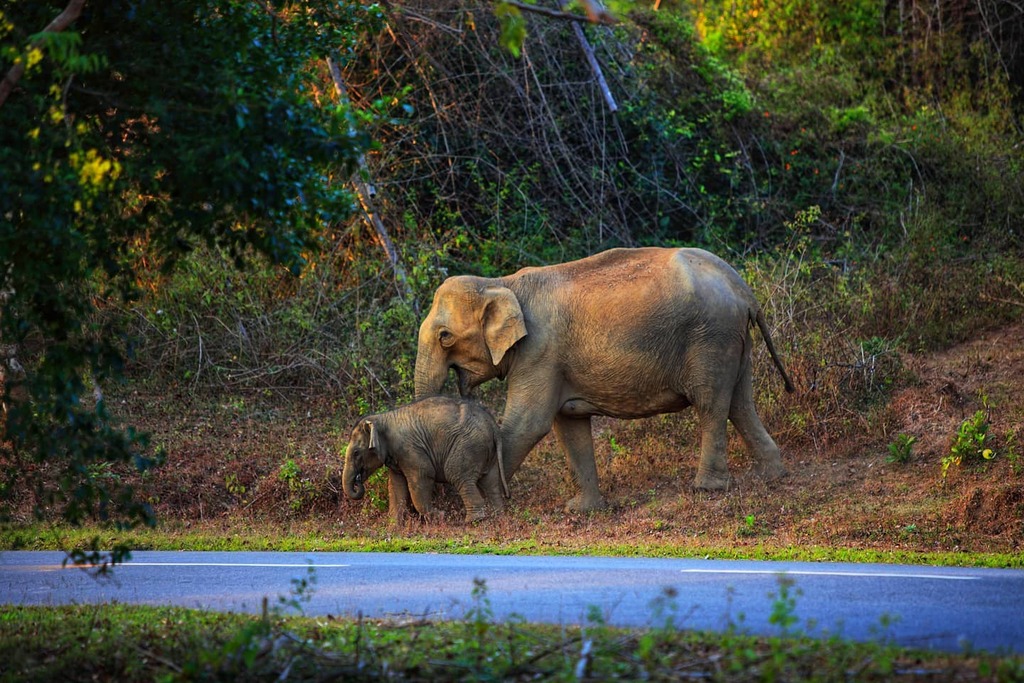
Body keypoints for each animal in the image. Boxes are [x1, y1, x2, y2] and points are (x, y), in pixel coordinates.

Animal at [342, 395, 505, 524]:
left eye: (356, 453)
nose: (358, 481)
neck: (381, 418)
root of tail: (492, 424)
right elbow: (396, 485)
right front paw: (394, 528)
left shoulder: (409, 449)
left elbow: (421, 478)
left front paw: (440, 516)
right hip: (487, 452)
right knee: (490, 482)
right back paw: (497, 517)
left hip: (468, 445)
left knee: (457, 474)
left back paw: (473, 521)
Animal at [411, 246, 794, 511]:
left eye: (445, 337)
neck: (501, 284)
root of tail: (742, 287)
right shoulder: (553, 362)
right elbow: (568, 425)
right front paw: (582, 510)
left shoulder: (540, 353)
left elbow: (527, 425)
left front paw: (477, 504)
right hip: (733, 341)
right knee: (740, 402)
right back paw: (770, 474)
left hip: (711, 338)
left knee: (711, 403)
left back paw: (707, 488)